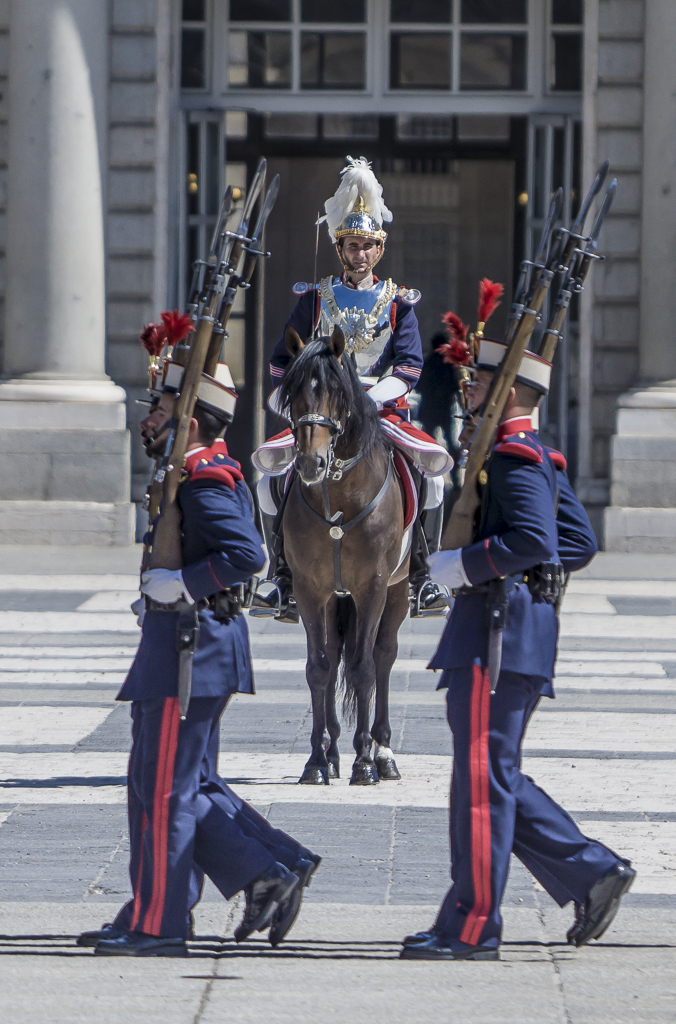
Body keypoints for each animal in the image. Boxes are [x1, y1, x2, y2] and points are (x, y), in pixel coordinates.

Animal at [276, 325, 409, 782]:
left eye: (336, 391)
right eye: (293, 390)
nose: (310, 463)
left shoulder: (372, 588)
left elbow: (364, 668)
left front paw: (365, 762)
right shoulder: (310, 589)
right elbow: (320, 668)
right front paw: (317, 761)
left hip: (398, 590)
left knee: (384, 656)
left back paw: (383, 753)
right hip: (334, 598)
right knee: (334, 657)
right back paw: (332, 750)